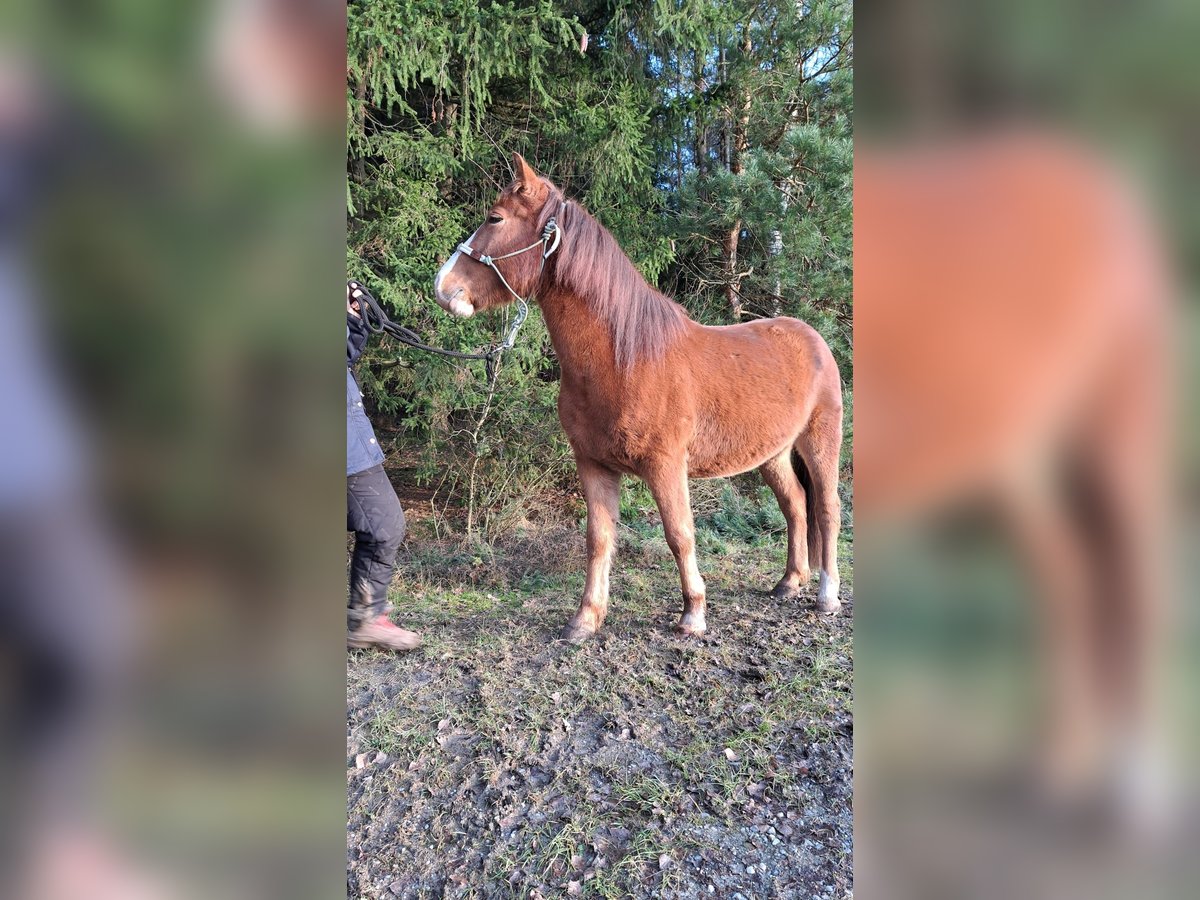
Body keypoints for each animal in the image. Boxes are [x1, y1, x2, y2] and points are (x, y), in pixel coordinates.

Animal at [434, 157, 844, 648]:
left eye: (495, 219)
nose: (443, 286)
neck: (624, 361)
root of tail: (812, 338)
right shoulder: (593, 464)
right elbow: (599, 539)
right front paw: (585, 619)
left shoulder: (665, 465)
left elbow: (680, 534)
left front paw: (693, 614)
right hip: (774, 454)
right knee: (795, 505)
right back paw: (790, 581)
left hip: (820, 441)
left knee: (827, 508)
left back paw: (826, 595)